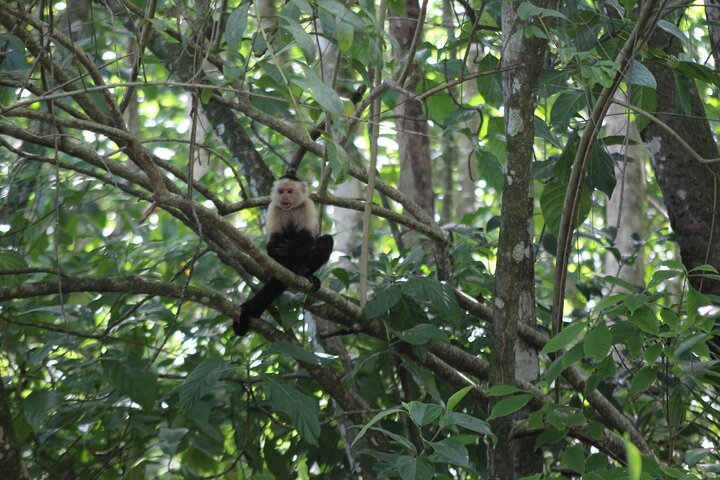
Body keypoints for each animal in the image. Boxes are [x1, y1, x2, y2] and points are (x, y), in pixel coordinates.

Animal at [232, 174, 334, 336]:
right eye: (281, 191)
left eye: (289, 191)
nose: (284, 196)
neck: (290, 208)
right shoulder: (274, 207)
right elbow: (273, 242)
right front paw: (282, 251)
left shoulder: (307, 205)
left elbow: (309, 236)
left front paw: (292, 248)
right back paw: (292, 267)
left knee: (326, 241)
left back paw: (305, 272)